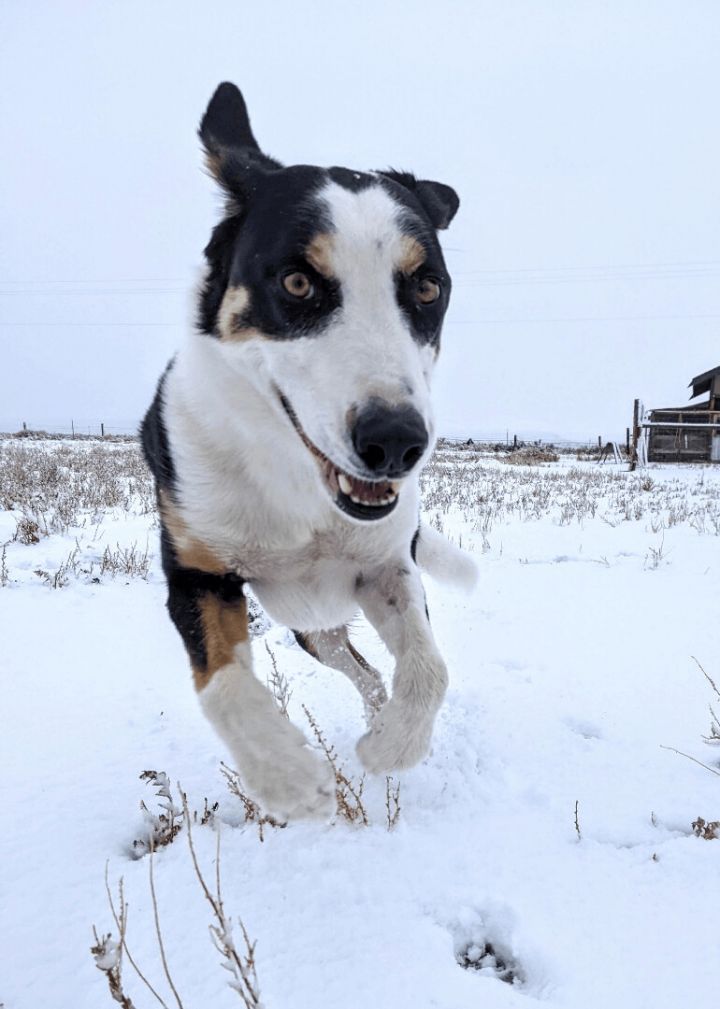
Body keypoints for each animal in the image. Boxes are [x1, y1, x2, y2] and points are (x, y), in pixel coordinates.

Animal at [142, 80, 473, 819]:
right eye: (296, 282)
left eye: (427, 287)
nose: (396, 443)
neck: (301, 491)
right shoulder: (196, 573)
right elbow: (225, 685)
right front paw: (287, 777)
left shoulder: (387, 567)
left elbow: (429, 667)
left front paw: (392, 747)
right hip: (305, 626)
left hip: (325, 619)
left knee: (372, 669)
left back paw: (378, 720)